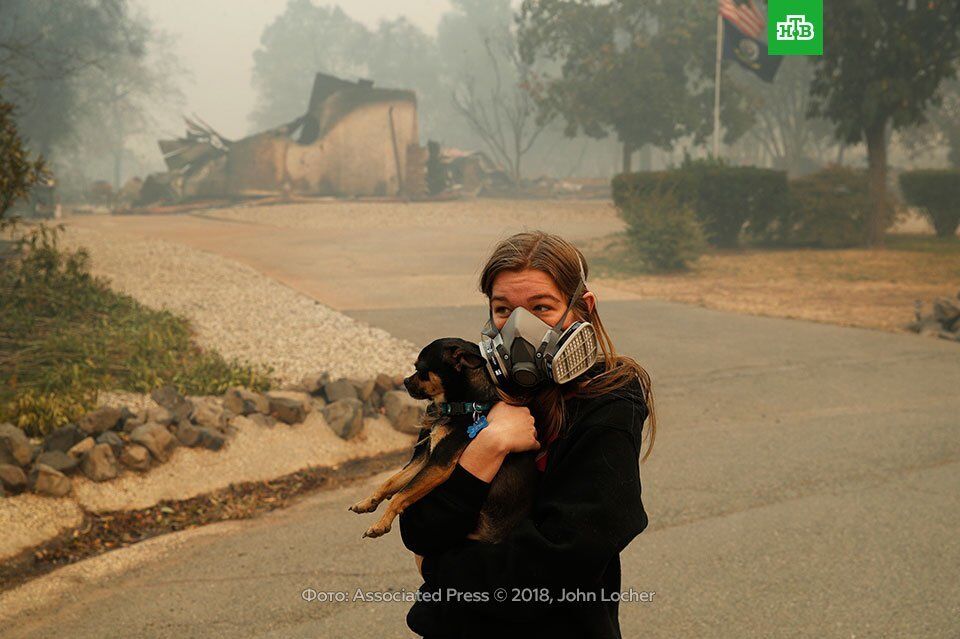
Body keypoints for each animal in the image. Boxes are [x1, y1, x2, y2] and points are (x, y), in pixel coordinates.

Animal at [346, 338, 540, 544]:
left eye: (421, 369)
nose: (404, 381)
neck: (464, 405)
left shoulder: (438, 465)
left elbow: (401, 494)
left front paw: (380, 524)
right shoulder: (424, 460)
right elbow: (390, 482)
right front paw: (367, 502)